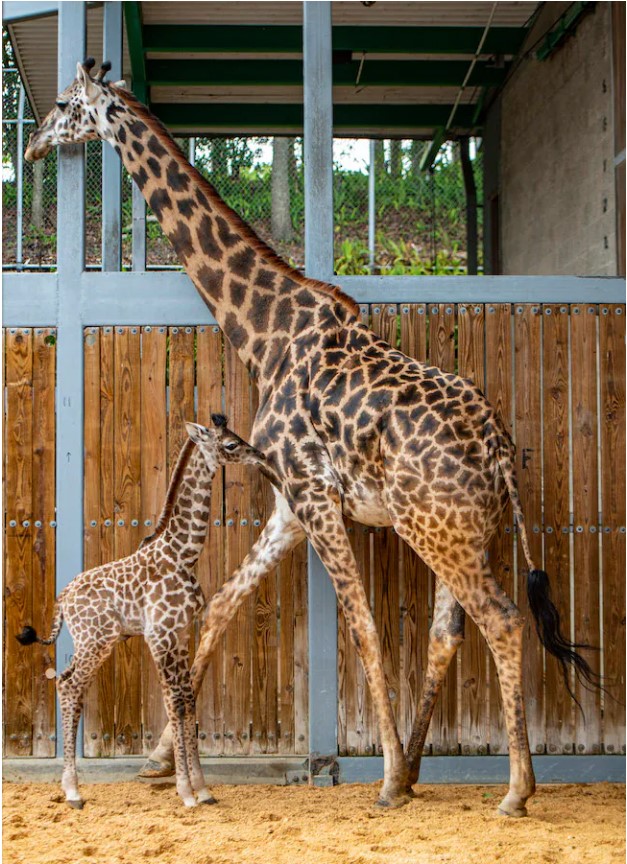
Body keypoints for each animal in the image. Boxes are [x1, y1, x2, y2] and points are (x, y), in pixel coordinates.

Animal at [16, 416, 265, 810]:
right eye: (229, 444)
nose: (260, 455)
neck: (183, 554)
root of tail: (62, 598)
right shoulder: (159, 635)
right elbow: (174, 702)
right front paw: (185, 792)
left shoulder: (180, 634)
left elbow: (187, 699)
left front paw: (203, 789)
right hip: (96, 640)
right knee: (70, 685)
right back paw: (72, 791)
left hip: (95, 641)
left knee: (67, 682)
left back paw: (71, 787)